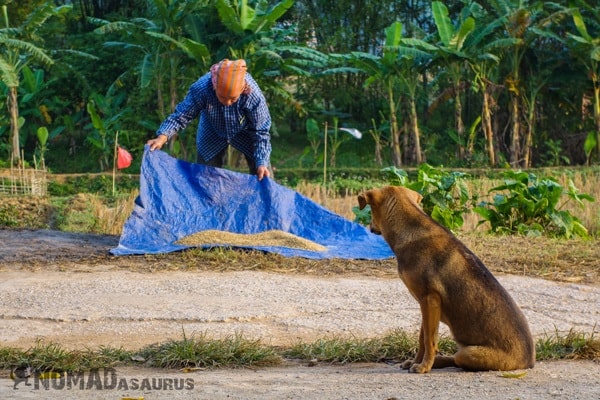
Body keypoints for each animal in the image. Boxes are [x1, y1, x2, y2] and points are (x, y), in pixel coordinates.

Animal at [358, 186, 536, 374]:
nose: (369, 227)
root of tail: (528, 362)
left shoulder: (430, 299)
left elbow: (429, 340)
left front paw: (424, 366)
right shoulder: (425, 304)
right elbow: (422, 338)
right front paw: (417, 362)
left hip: (469, 353)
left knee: (458, 359)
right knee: (454, 358)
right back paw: (438, 361)